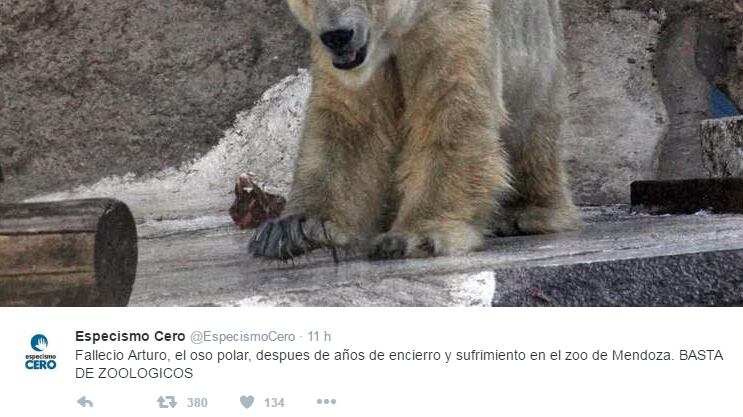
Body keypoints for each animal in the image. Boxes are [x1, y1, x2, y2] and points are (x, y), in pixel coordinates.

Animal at [249, 0, 579, 261]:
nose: (338, 36)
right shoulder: (345, 60)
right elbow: (350, 121)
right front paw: (292, 230)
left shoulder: (450, 25)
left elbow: (449, 111)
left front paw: (413, 237)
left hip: (537, 51)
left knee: (533, 129)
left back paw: (525, 213)